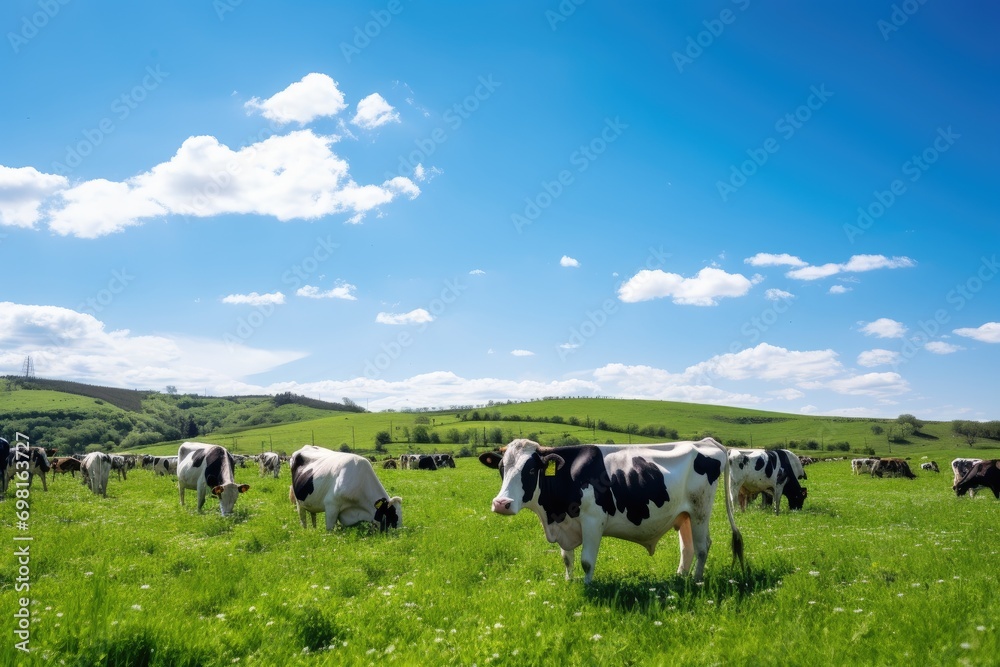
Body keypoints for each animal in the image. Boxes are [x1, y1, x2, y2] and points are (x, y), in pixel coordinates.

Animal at [476, 438, 744, 584]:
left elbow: (586, 561)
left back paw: (697, 581)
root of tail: (705, 442)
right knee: (687, 548)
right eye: (501, 467)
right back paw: (680, 578)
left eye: (531, 470)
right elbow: (567, 558)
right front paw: (568, 581)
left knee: (702, 547)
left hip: (700, 511)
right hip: (684, 515)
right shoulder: (565, 522)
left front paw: (587, 586)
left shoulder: (593, 521)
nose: (501, 503)